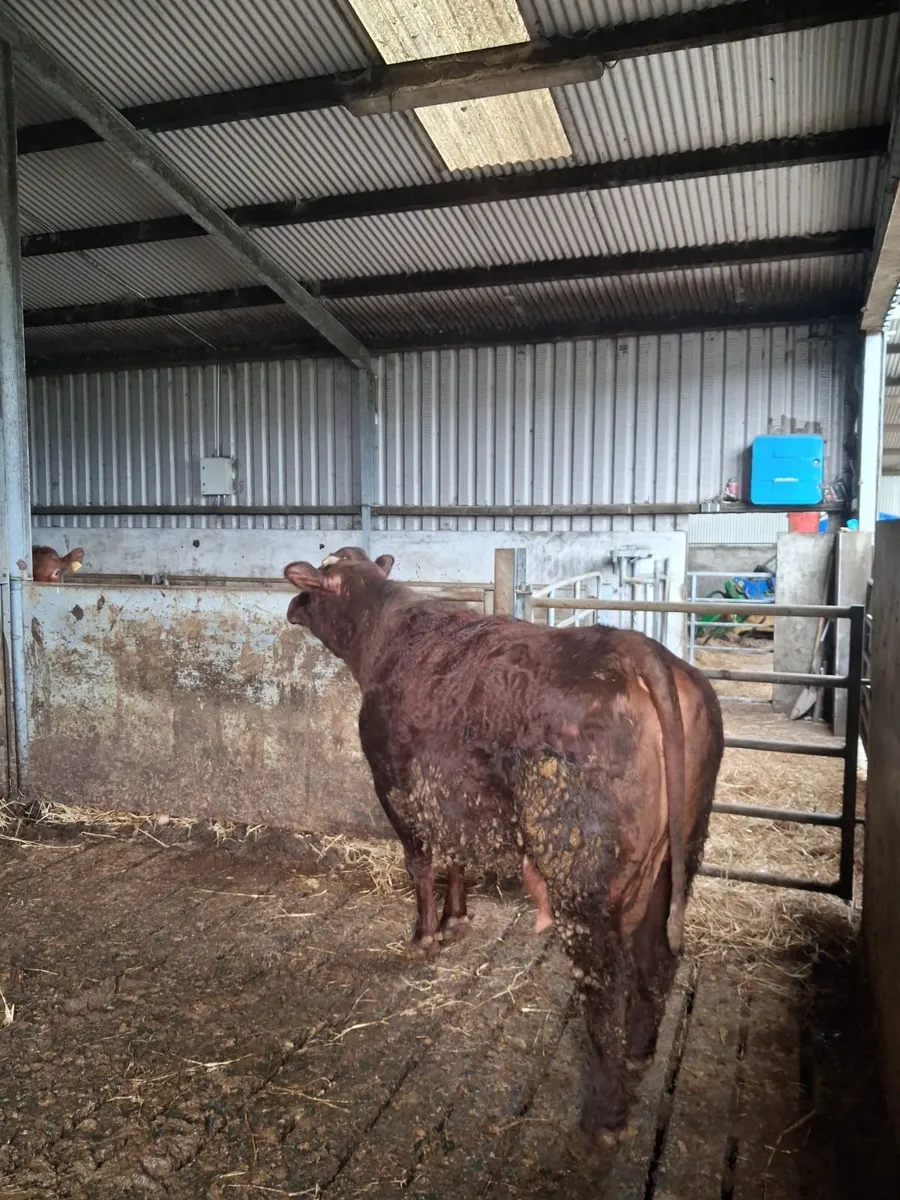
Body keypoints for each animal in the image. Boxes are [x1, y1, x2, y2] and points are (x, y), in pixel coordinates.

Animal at [283, 546, 723, 1143]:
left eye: (315, 583)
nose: (291, 607)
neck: (385, 632)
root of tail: (638, 649)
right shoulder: (449, 795)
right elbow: (454, 857)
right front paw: (457, 919)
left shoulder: (394, 786)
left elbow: (420, 862)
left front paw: (424, 935)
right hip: (678, 858)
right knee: (659, 957)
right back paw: (639, 1053)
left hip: (582, 879)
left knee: (606, 983)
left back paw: (604, 1115)